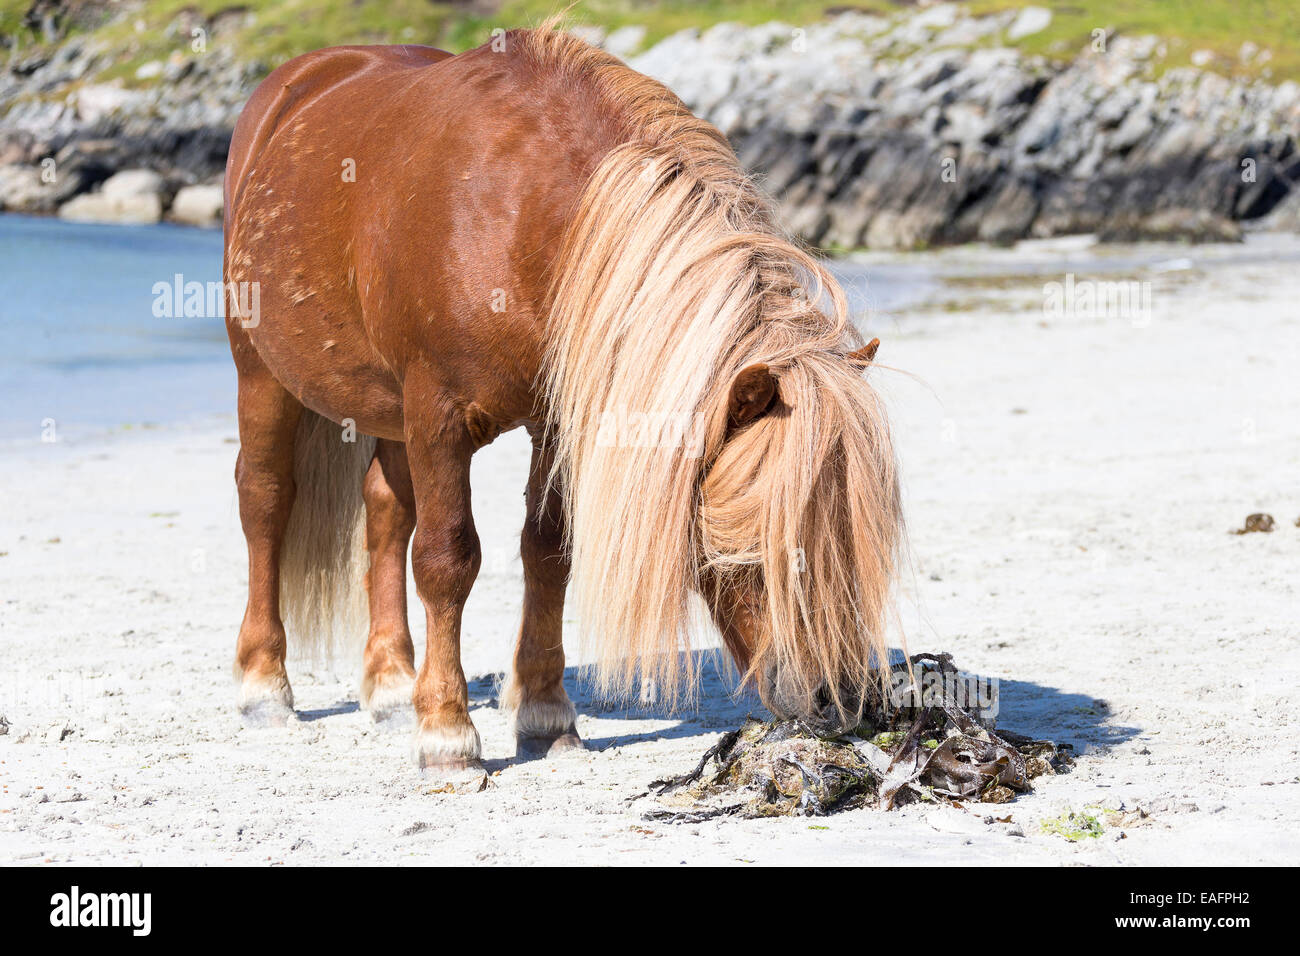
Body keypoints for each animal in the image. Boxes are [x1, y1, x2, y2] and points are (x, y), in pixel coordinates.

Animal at [223, 24, 899, 770]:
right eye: (768, 536)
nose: (840, 698)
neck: (517, 214)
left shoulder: (552, 420)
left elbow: (548, 551)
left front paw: (544, 715)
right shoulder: (437, 419)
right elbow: (447, 558)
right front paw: (450, 735)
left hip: (387, 411)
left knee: (384, 512)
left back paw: (394, 686)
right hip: (262, 374)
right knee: (265, 501)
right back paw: (264, 686)